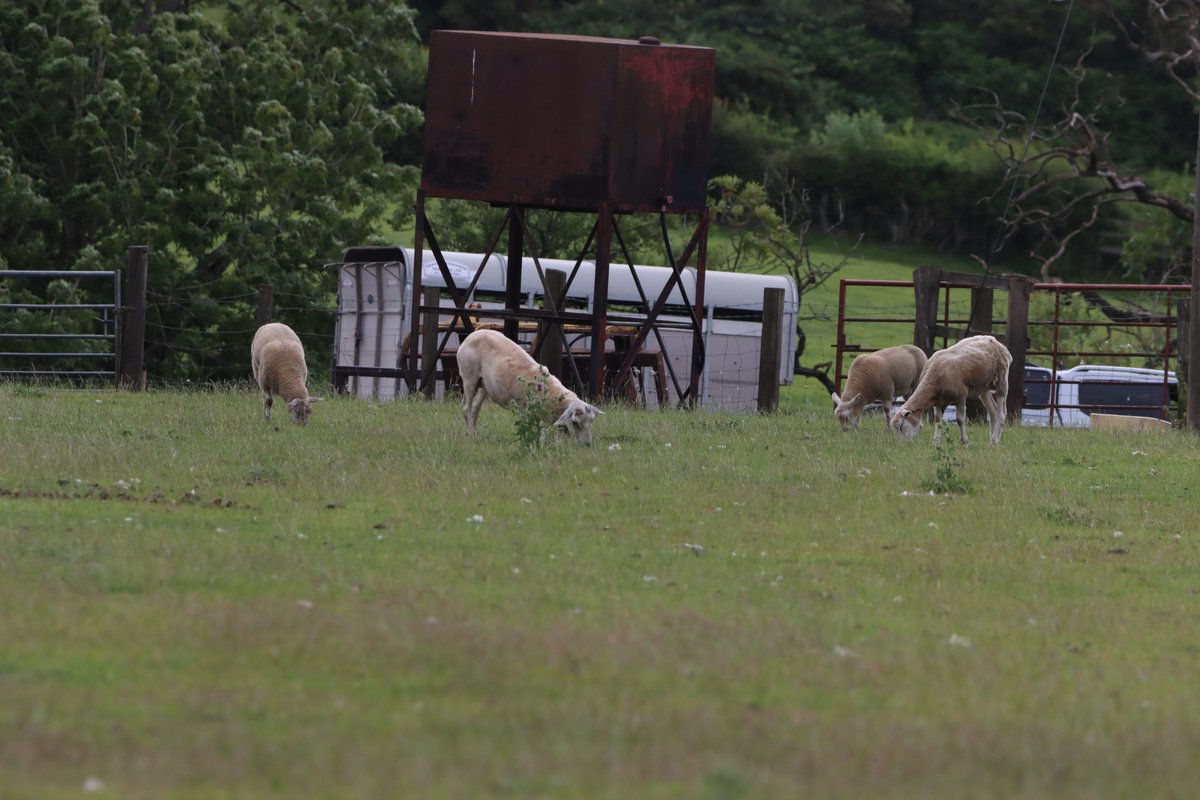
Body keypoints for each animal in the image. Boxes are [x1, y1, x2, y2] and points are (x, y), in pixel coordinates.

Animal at [456, 328, 602, 446]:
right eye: (576, 422)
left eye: (591, 421)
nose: (587, 444)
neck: (553, 394)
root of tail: (471, 336)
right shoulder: (529, 412)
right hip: (469, 376)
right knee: (466, 407)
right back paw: (472, 436)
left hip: (485, 385)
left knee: (475, 406)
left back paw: (470, 433)